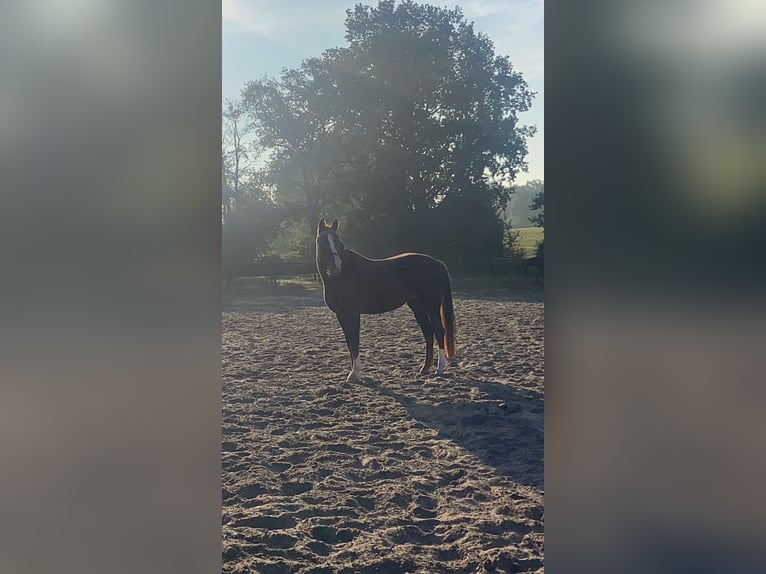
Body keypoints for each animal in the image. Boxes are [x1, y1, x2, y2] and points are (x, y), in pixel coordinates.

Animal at [316, 217, 456, 382]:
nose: (337, 266)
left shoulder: (352, 313)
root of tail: (437, 263)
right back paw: (425, 367)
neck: (344, 276)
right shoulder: (341, 315)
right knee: (428, 333)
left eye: (337, 241)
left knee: (439, 331)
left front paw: (354, 373)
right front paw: (353, 373)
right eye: (322, 242)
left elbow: (354, 341)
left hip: (431, 307)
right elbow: (349, 342)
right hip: (418, 307)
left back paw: (439, 369)